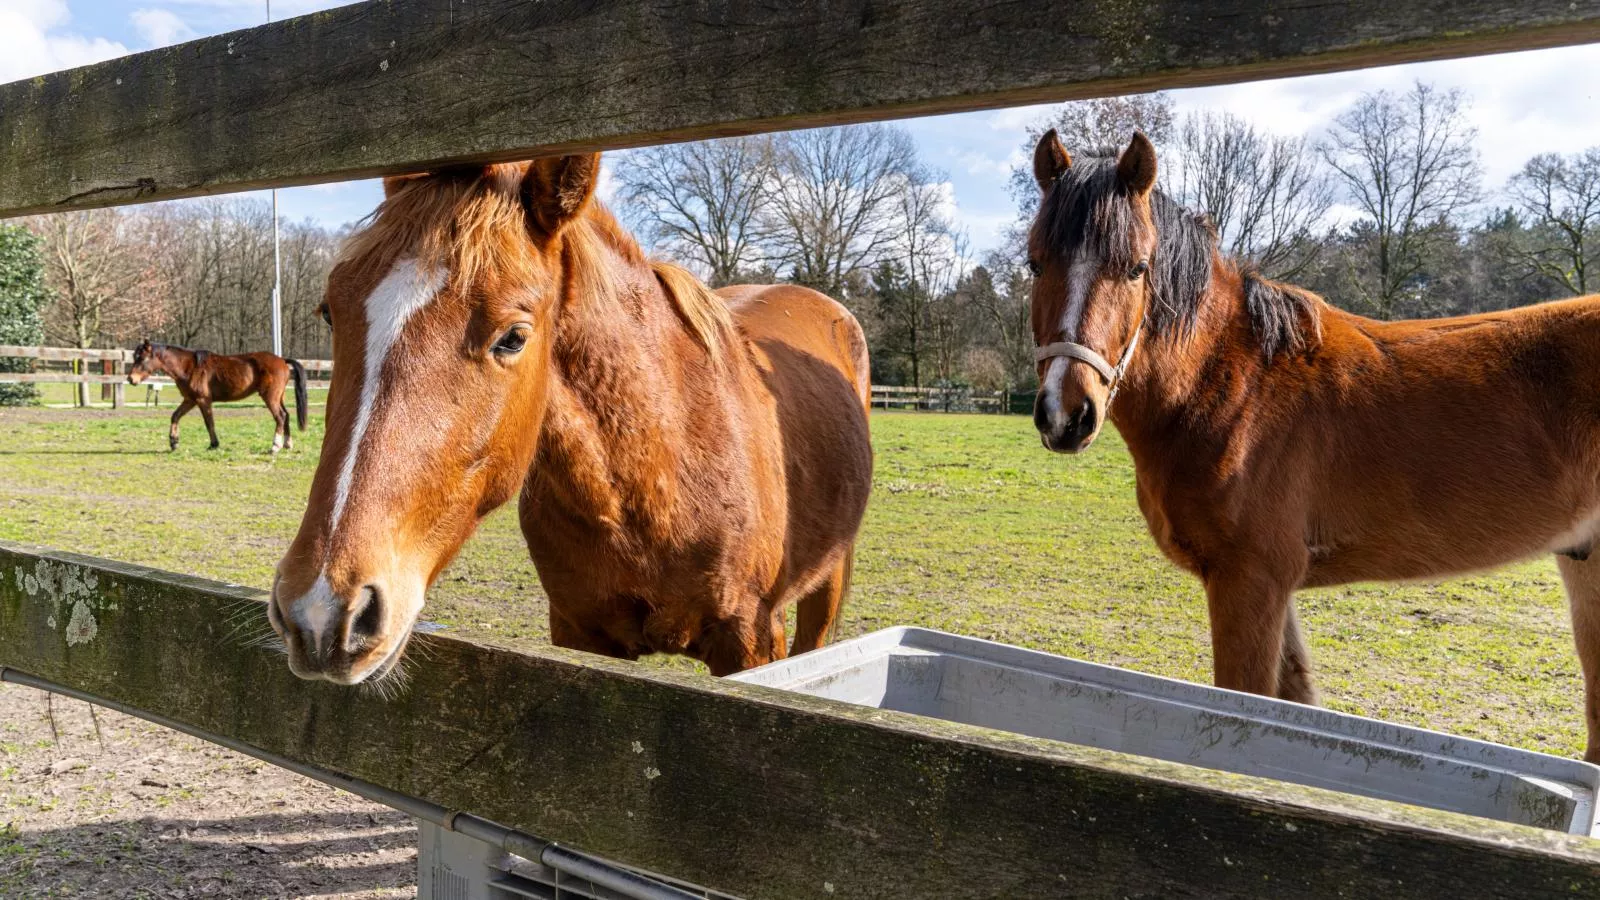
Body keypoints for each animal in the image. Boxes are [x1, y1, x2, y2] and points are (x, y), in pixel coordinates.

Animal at [128, 337, 308, 451]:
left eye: (142, 358)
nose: (131, 379)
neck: (190, 367)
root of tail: (282, 360)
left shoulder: (203, 400)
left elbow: (209, 423)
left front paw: (214, 444)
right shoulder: (190, 400)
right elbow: (175, 416)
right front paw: (174, 442)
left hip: (270, 397)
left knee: (280, 417)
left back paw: (275, 446)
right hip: (279, 397)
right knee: (286, 415)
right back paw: (287, 444)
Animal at [272, 157, 876, 682]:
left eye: (513, 337)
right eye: (330, 311)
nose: (322, 610)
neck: (662, 475)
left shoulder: (749, 638)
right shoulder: (580, 634)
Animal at [1024, 128, 1600, 755]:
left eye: (1136, 268)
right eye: (1034, 263)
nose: (1066, 414)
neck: (1232, 385)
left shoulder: (1251, 580)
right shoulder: (1273, 588)